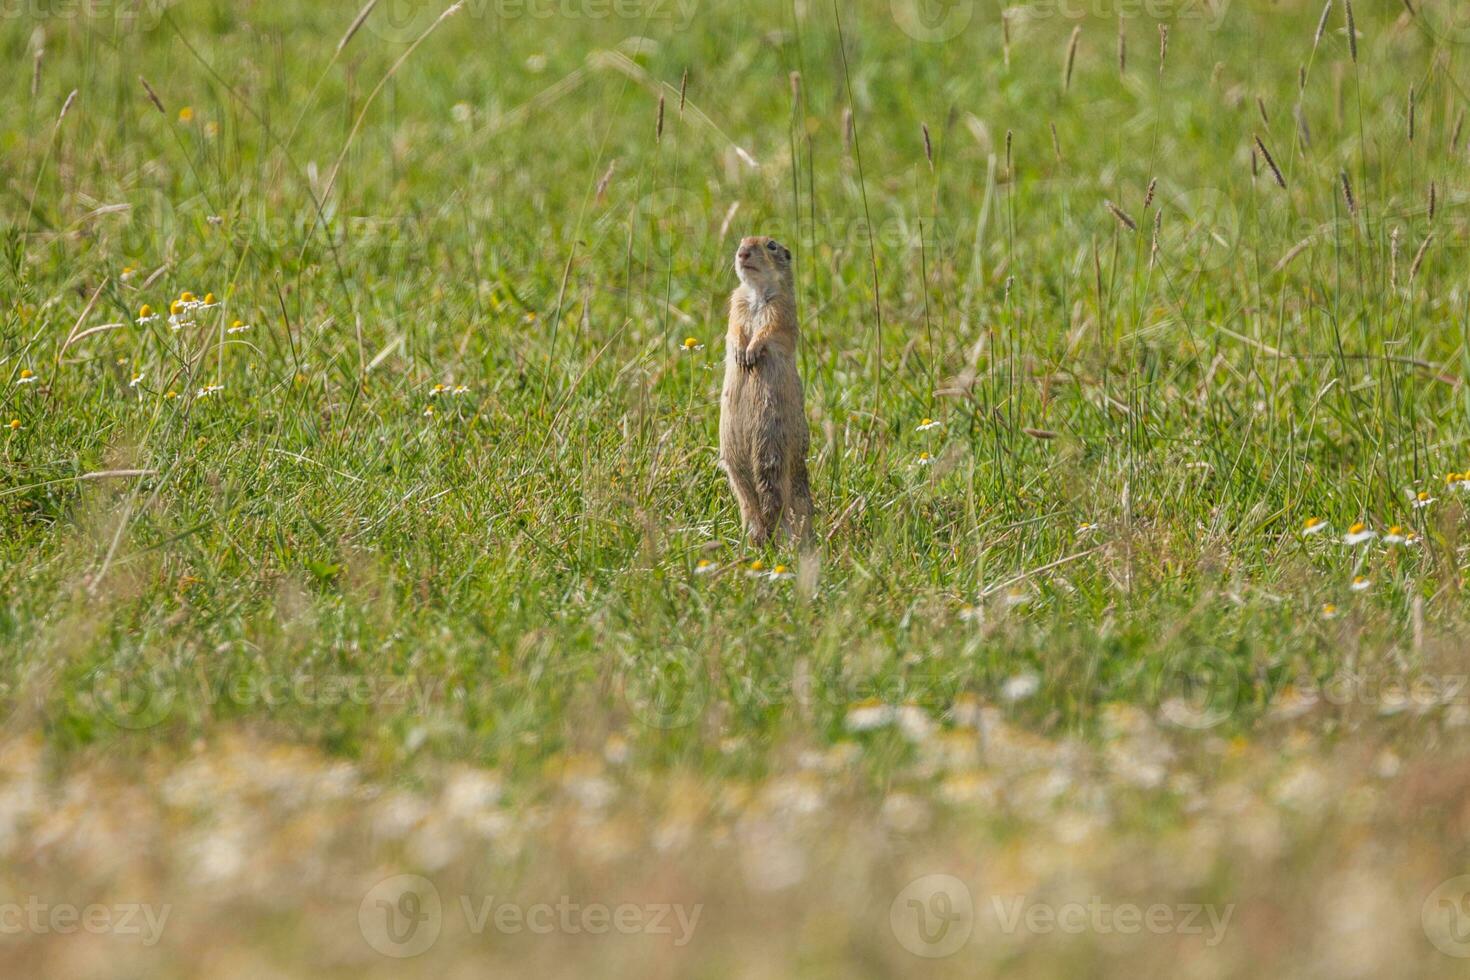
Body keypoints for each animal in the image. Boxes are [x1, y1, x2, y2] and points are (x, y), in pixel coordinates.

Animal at [714, 233, 817, 549]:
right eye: (740, 241)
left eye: (771, 245)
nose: (743, 253)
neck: (757, 293)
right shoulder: (737, 303)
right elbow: (734, 329)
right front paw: (740, 352)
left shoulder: (781, 308)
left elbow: (770, 330)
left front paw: (751, 352)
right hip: (734, 460)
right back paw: (753, 541)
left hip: (770, 451)